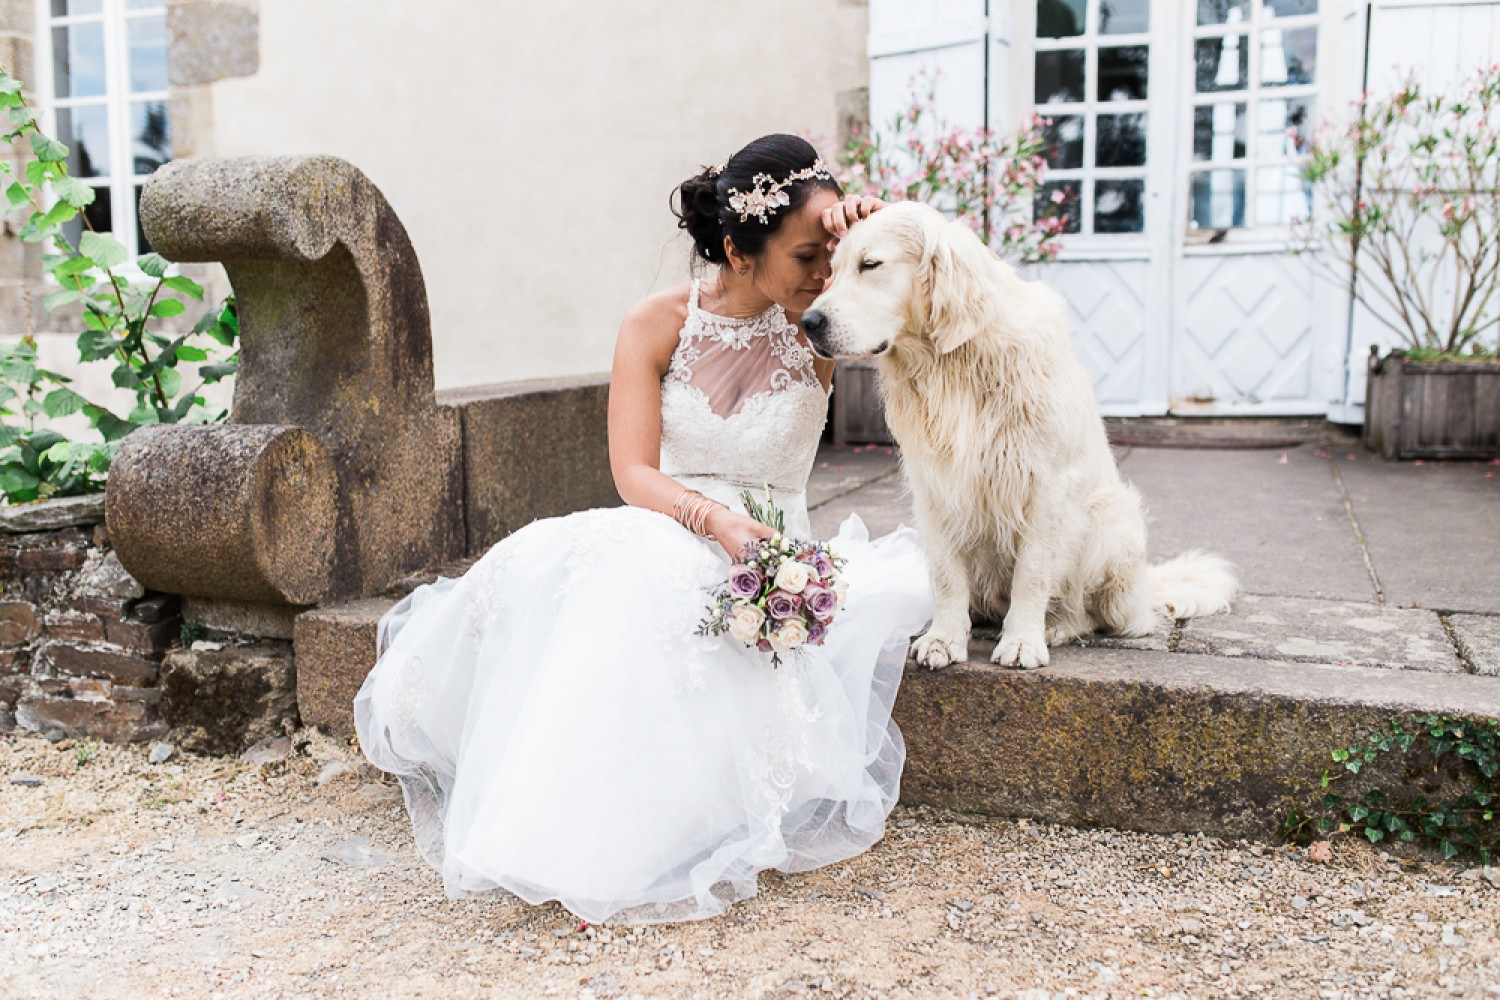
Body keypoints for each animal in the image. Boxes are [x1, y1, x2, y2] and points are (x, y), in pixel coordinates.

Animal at [804, 200, 1236, 671]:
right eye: (832, 270)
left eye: (870, 265)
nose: (808, 320)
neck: (953, 363)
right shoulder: (935, 488)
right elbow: (946, 574)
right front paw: (944, 637)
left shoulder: (1045, 485)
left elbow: (1033, 573)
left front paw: (1024, 640)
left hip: (1110, 521)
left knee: (1095, 614)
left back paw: (1057, 625)